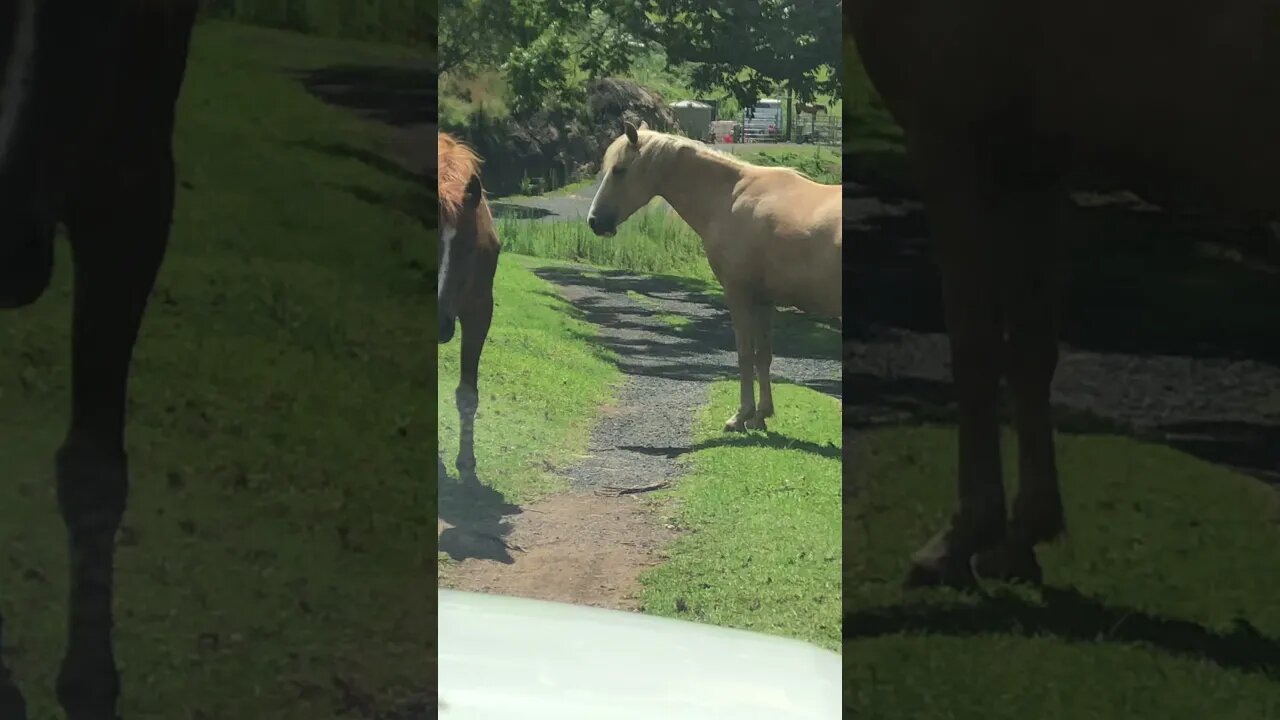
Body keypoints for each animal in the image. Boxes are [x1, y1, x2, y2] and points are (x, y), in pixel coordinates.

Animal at [586, 121, 839, 430]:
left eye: (619, 169)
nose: (595, 221)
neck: (730, 196)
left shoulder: (738, 293)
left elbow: (744, 354)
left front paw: (741, 416)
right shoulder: (763, 300)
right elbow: (763, 356)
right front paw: (761, 415)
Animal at [849, 0, 1280, 586]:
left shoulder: (951, 141)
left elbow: (974, 344)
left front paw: (961, 538)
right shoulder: (1034, 166)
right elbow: (1031, 351)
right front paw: (1022, 537)